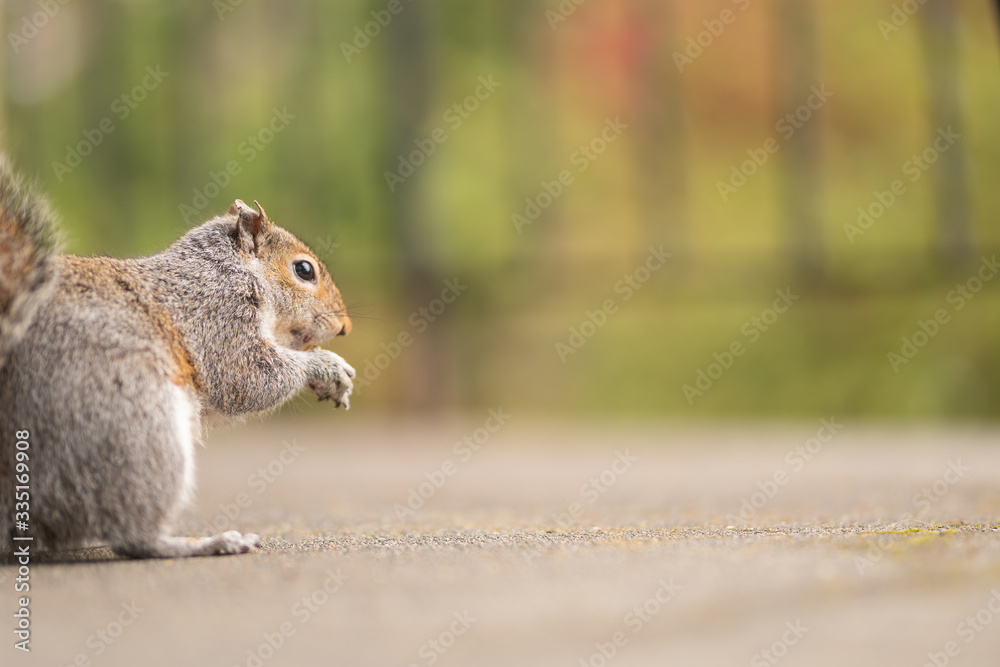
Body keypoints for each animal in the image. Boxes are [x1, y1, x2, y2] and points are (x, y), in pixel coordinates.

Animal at [0, 154, 355, 558]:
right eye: (303, 269)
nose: (345, 327)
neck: (232, 268)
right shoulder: (217, 316)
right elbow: (247, 379)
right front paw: (327, 366)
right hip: (136, 427)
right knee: (131, 536)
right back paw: (208, 543)